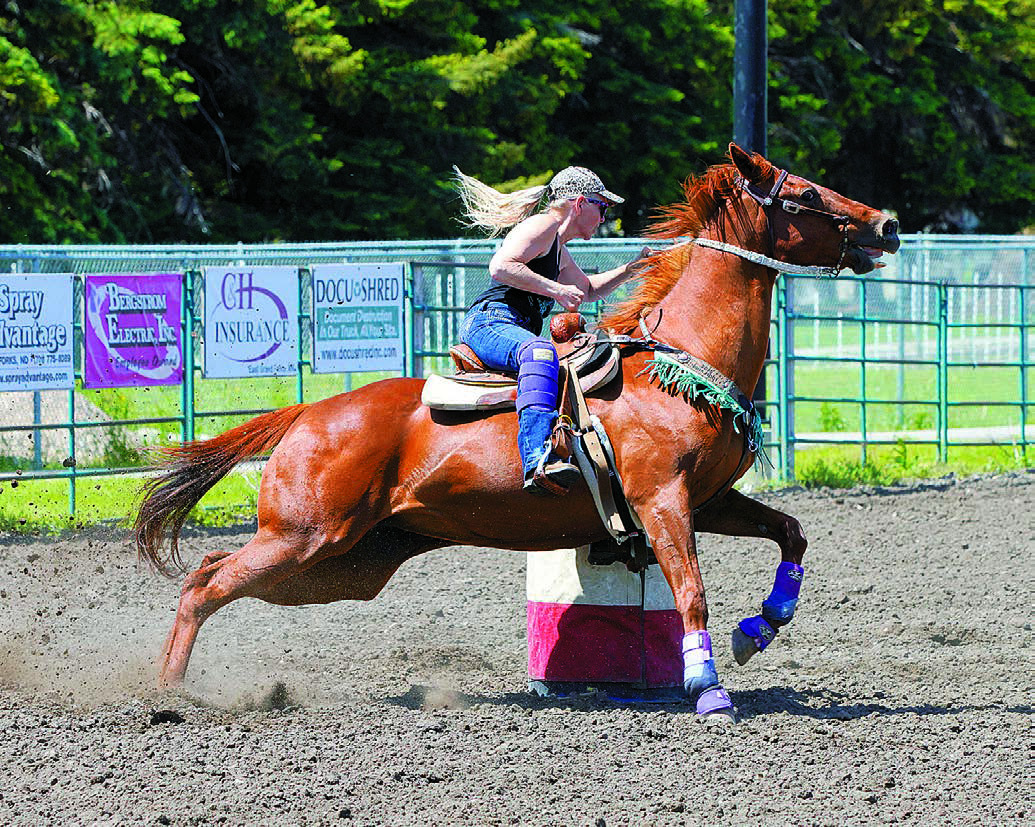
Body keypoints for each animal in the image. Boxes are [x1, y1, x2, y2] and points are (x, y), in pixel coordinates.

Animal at [134, 143, 899, 719]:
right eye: (805, 191)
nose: (887, 223)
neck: (682, 359)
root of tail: (309, 413)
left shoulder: (707, 499)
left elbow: (791, 532)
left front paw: (758, 629)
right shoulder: (661, 500)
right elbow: (691, 589)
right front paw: (707, 688)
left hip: (338, 561)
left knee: (208, 571)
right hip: (304, 537)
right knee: (204, 585)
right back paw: (166, 694)